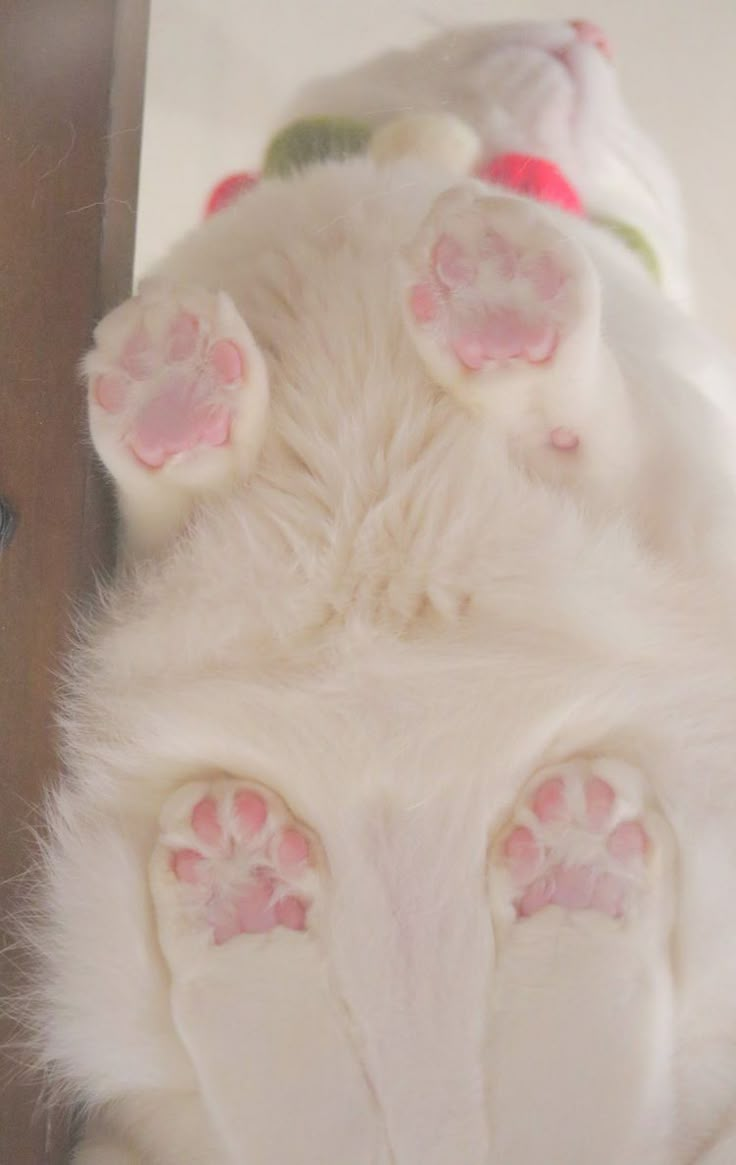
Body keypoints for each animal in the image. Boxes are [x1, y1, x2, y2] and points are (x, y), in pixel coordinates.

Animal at [23, 18, 736, 1165]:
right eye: (453, 35)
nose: (585, 27)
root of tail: (441, 1137)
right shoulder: (143, 563)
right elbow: (167, 503)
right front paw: (173, 386)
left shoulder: (675, 490)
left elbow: (588, 424)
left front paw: (501, 296)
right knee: (271, 1079)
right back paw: (245, 888)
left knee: (608, 1091)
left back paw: (579, 876)